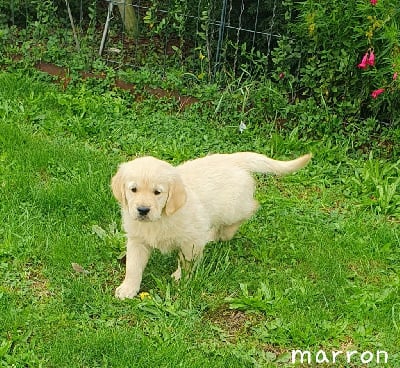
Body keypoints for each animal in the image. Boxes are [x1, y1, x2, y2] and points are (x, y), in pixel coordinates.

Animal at [111, 152, 310, 300]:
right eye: (133, 189)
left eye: (157, 192)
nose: (143, 210)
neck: (161, 218)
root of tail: (233, 158)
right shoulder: (137, 241)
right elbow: (133, 266)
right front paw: (128, 288)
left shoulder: (190, 240)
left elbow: (186, 261)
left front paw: (181, 277)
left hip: (232, 208)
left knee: (249, 209)